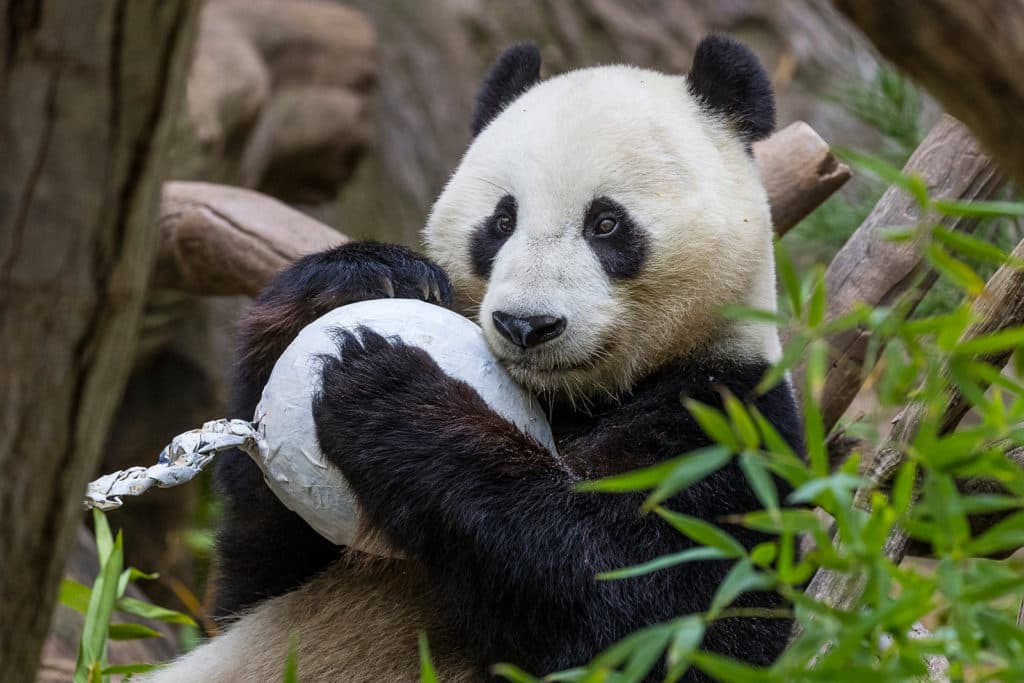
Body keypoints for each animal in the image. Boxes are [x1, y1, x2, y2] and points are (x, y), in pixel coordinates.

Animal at [146, 35, 802, 682]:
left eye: (606, 223)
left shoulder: (729, 431)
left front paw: (391, 392)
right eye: (502, 220)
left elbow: (647, 613)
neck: (579, 401)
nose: (526, 325)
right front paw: (356, 280)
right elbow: (251, 577)